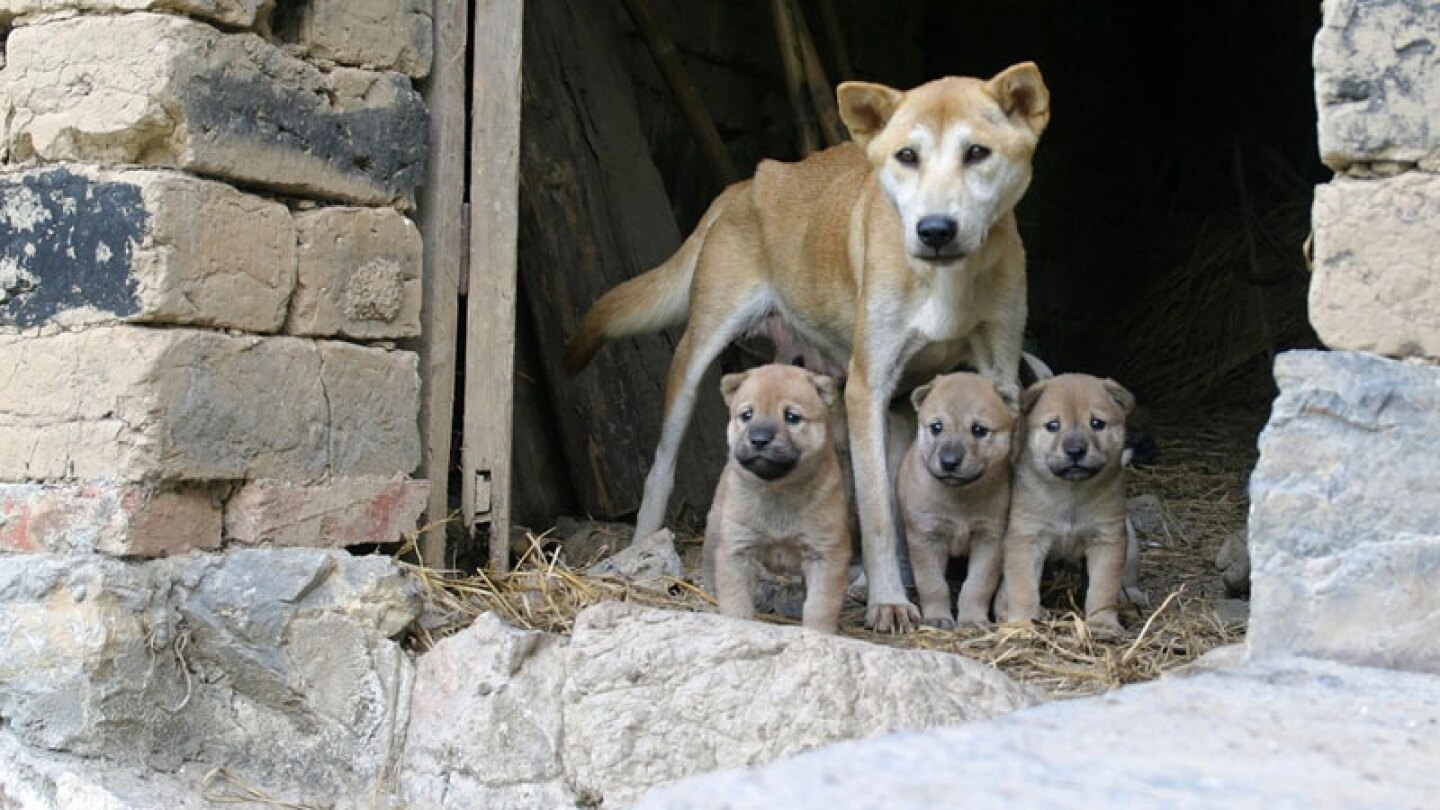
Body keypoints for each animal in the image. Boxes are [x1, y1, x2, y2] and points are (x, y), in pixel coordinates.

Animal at [699, 363, 846, 634]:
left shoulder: (825, 553)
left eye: (792, 417)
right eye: (747, 415)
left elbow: (820, 606)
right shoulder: (737, 550)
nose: (759, 439)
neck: (778, 490)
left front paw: (818, 634)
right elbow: (736, 600)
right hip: (717, 525)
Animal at [892, 368, 1019, 628]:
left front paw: (972, 619)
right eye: (936, 427)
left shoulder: (990, 538)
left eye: (979, 430)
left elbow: (977, 585)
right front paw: (938, 617)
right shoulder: (925, 536)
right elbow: (933, 584)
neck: (960, 497)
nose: (949, 462)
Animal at [1002, 371, 1134, 631]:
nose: (1075, 451)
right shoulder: (1027, 538)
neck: (1071, 494)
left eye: (1097, 423)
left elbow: (1103, 589)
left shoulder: (1106, 541)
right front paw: (1022, 623)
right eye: (1053, 425)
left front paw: (1103, 623)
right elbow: (1023, 588)